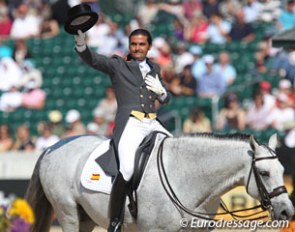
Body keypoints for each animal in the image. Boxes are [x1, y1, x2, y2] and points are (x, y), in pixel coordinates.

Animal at [25, 132, 294, 232]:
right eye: (264, 173)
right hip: (68, 212)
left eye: (282, 170)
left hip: (86, 218)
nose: (287, 212)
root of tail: (52, 147)